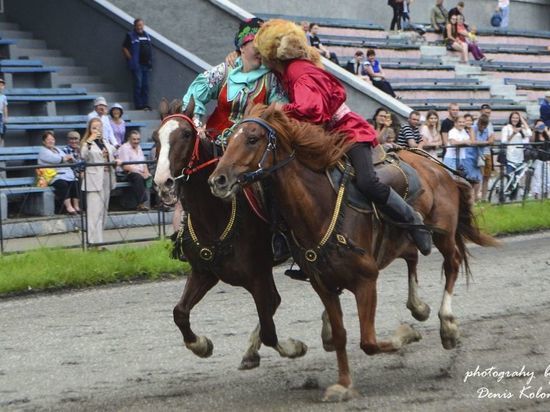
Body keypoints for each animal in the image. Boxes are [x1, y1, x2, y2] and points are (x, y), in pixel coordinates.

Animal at [154, 100, 310, 370]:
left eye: (186, 134)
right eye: (156, 137)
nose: (164, 183)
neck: (217, 215)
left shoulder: (258, 275)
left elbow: (269, 326)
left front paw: (293, 347)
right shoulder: (204, 273)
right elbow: (180, 313)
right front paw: (202, 345)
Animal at [210, 104, 500, 402]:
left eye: (252, 139)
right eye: (228, 141)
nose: (217, 180)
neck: (319, 207)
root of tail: (437, 166)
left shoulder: (366, 280)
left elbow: (369, 341)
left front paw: (407, 334)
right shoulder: (323, 285)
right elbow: (340, 335)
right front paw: (344, 383)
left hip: (444, 232)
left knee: (452, 264)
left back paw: (448, 327)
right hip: (404, 240)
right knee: (413, 257)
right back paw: (418, 307)